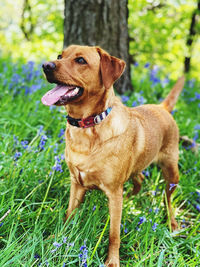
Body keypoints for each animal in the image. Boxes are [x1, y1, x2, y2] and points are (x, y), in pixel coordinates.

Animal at [41, 45, 185, 266]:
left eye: (81, 60)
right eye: (59, 56)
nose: (46, 65)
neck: (88, 126)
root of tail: (161, 107)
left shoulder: (113, 192)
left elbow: (114, 234)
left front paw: (112, 261)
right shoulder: (76, 184)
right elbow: (68, 215)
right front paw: (57, 239)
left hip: (171, 172)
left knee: (168, 200)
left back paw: (173, 224)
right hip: (137, 167)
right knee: (139, 178)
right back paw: (131, 197)